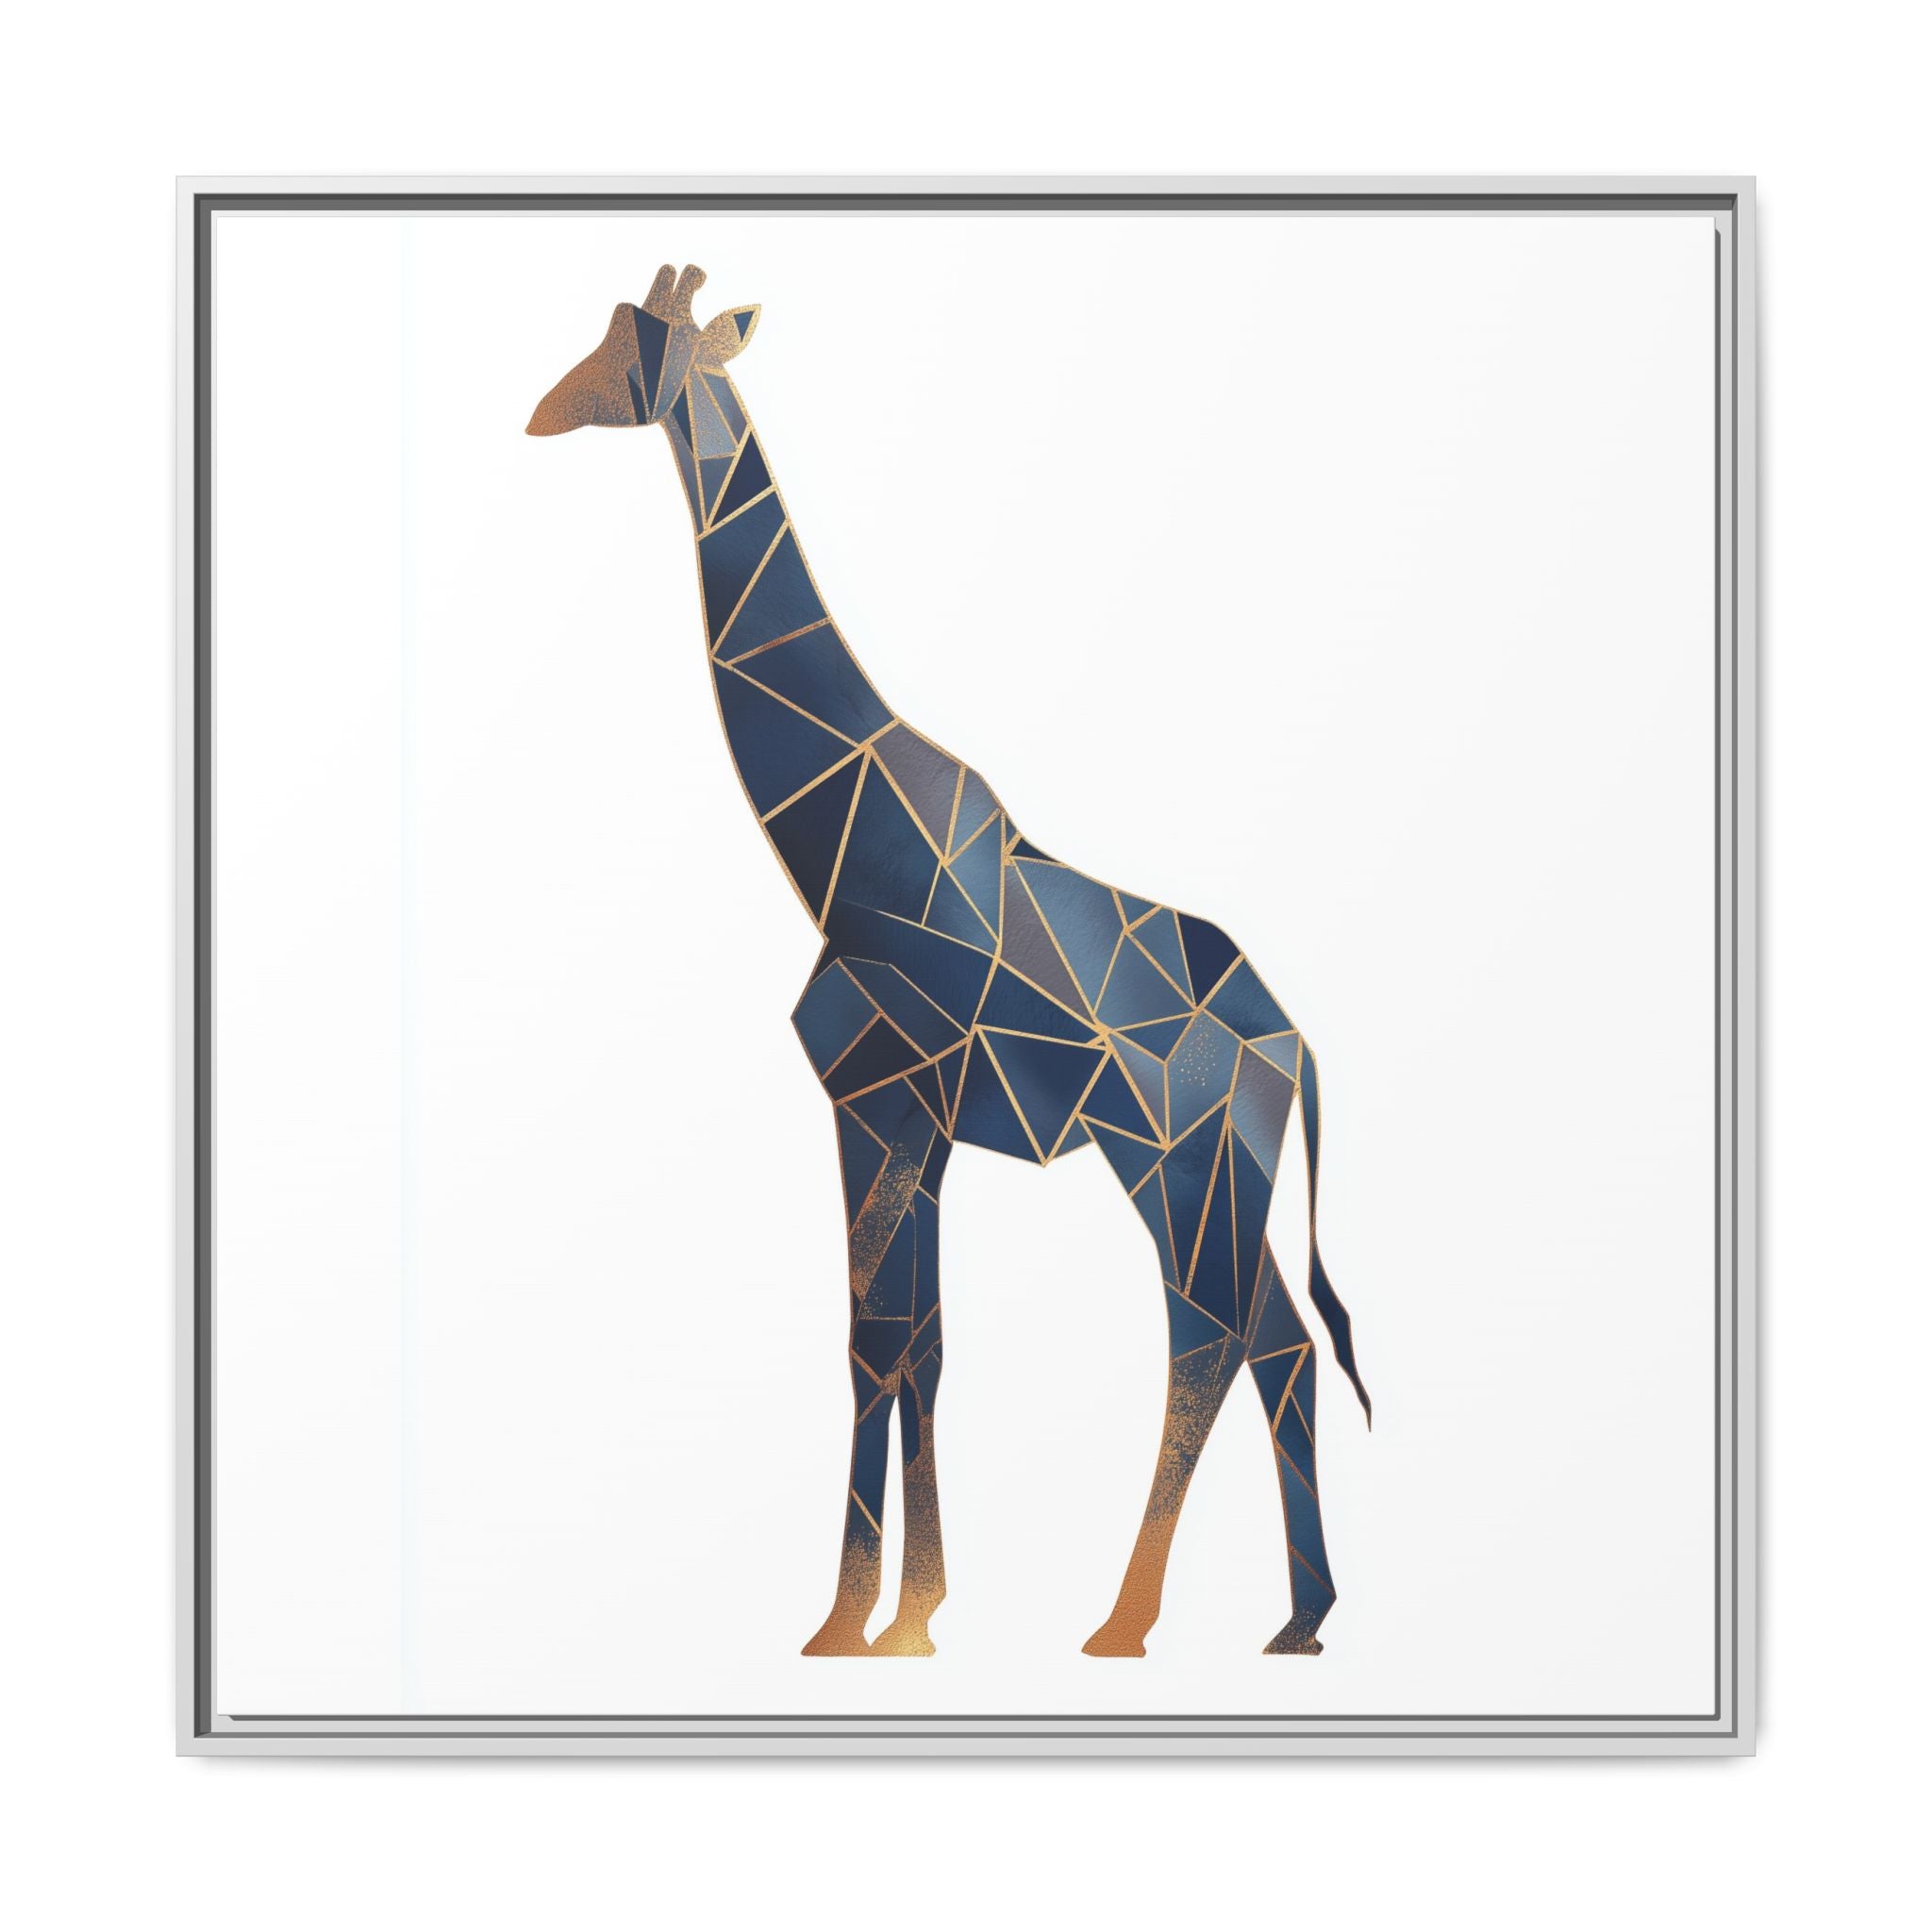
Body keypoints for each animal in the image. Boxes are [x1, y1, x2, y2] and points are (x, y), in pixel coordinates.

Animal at [528, 263, 1371, 1659]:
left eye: (640, 349)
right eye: (604, 332)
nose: (545, 410)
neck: (840, 847)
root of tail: (1293, 1045)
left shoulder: (875, 1100)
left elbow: (876, 1342)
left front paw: (857, 1620)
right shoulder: (912, 1123)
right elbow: (916, 1342)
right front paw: (901, 1615)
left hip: (1175, 1159)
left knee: (1213, 1335)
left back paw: (1129, 1622)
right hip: (1214, 1170)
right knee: (1277, 1343)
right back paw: (1296, 1619)